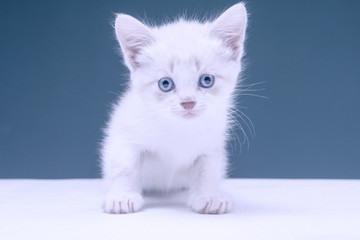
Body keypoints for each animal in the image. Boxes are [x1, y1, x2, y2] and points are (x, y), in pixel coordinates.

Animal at [100, 2, 248, 215]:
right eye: (165, 84)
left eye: (207, 80)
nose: (188, 102)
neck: (180, 128)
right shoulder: (124, 135)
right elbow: (125, 166)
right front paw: (122, 197)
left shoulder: (211, 145)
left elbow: (208, 170)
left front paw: (208, 197)